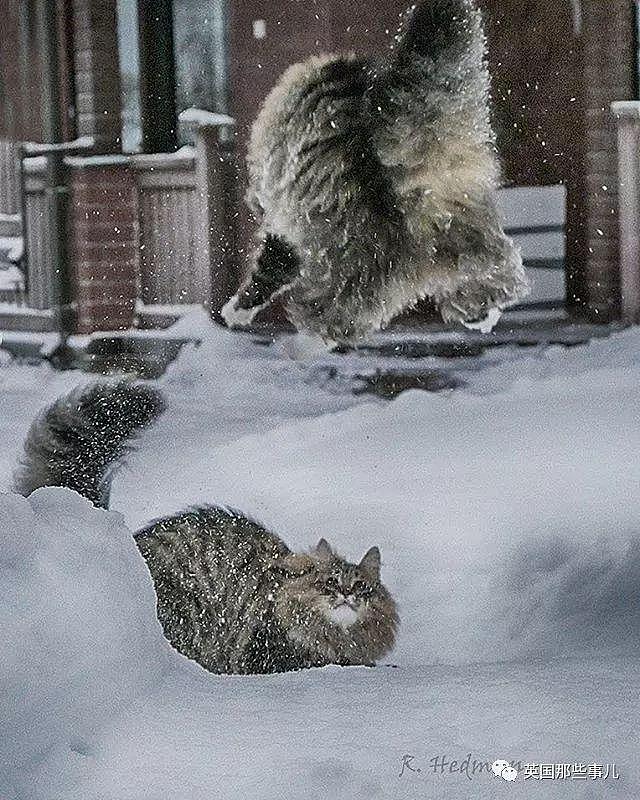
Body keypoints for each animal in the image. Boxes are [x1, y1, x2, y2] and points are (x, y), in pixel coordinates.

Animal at [222, 0, 528, 342]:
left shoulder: (282, 219)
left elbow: (267, 271)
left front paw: (236, 311)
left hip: (355, 245)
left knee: (344, 302)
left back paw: (317, 335)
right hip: (463, 229)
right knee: (492, 273)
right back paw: (483, 314)